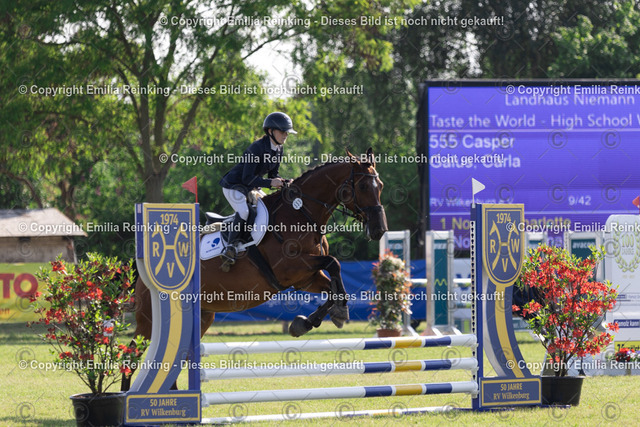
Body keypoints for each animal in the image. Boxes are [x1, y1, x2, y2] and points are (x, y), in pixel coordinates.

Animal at [121, 148, 388, 391]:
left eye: (381, 186)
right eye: (364, 186)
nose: (379, 230)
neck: (302, 213)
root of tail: (144, 275)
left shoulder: (306, 278)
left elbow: (333, 283)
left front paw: (310, 321)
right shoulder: (291, 268)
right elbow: (334, 263)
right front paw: (335, 313)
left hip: (203, 316)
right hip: (149, 320)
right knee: (131, 354)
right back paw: (124, 397)